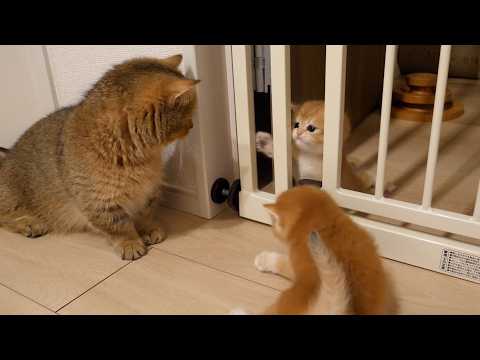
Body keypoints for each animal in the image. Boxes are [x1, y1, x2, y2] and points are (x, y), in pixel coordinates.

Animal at [0, 54, 199, 260]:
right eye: (188, 113)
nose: (192, 125)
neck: (139, 156)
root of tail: (6, 157)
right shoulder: (99, 203)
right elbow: (119, 227)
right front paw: (130, 244)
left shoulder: (148, 191)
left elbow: (145, 214)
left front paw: (149, 230)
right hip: (13, 198)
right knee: (4, 216)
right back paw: (29, 224)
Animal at [231, 186, 396, 316]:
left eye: (273, 223)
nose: (272, 229)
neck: (323, 224)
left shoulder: (297, 261)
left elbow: (282, 262)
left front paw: (263, 259)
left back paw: (237, 312)